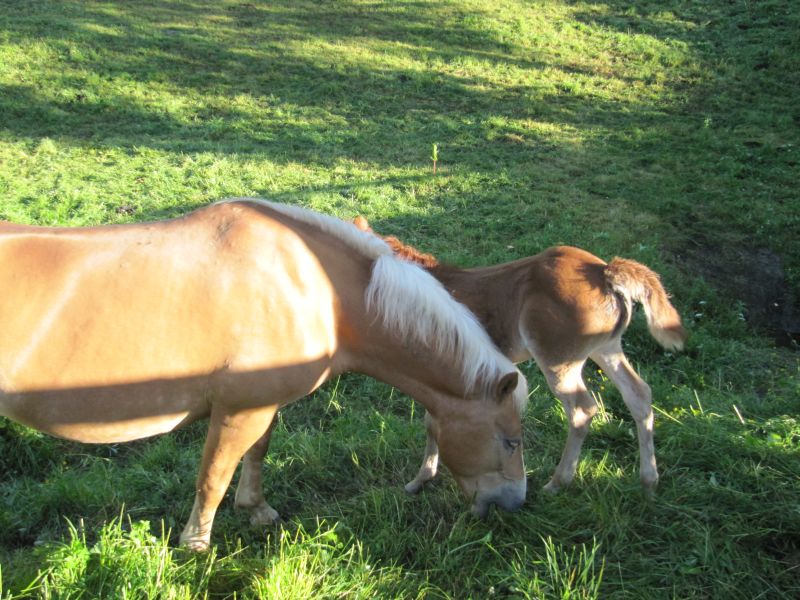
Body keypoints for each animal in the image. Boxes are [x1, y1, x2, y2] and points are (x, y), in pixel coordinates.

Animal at [0, 199, 528, 551]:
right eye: (510, 441)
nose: (515, 504)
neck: (316, 289)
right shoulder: (237, 411)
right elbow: (214, 477)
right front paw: (197, 545)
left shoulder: (261, 407)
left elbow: (256, 456)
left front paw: (257, 511)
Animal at [353, 216, 685, 495]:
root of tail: (604, 273)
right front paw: (425, 477)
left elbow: (431, 422)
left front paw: (421, 478)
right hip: (607, 348)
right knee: (638, 394)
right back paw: (649, 480)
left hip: (558, 359)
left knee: (582, 410)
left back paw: (557, 482)